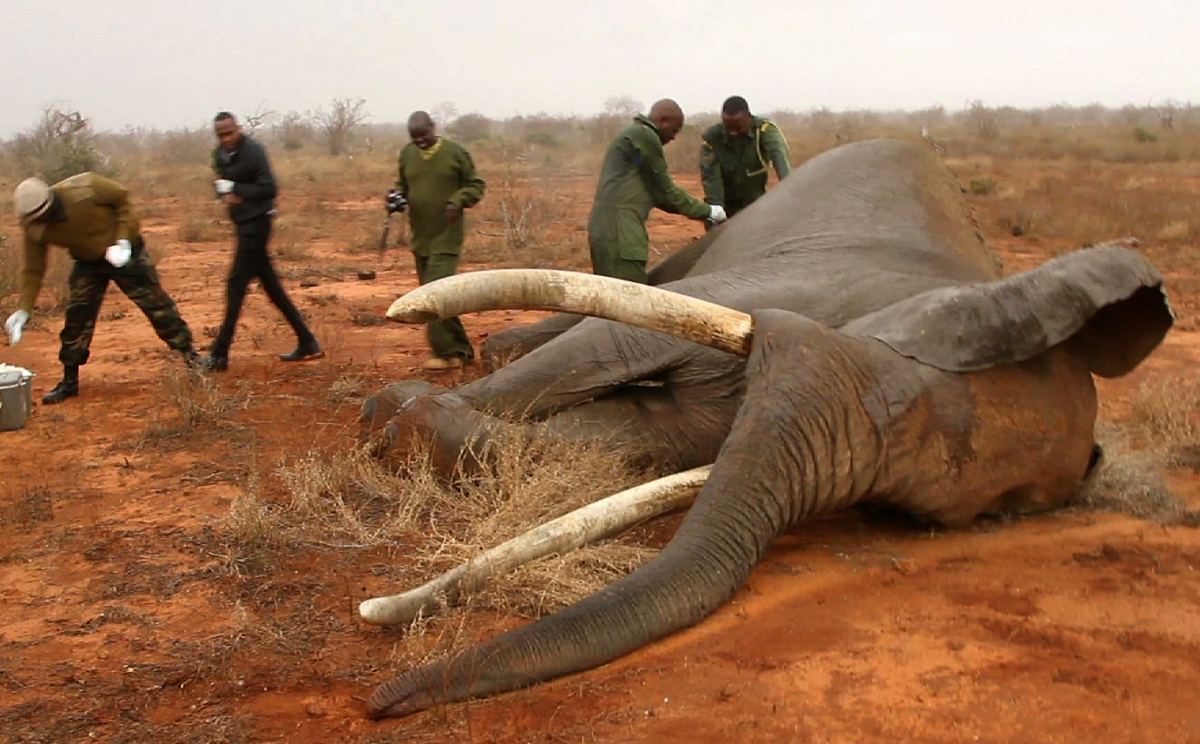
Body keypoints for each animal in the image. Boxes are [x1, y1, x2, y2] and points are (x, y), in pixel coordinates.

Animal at [359, 138, 1173, 719]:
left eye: (916, 514)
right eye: (902, 393)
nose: (385, 701)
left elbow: (646, 437)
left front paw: (412, 429)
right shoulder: (787, 284)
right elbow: (617, 341)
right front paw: (390, 421)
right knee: (649, 282)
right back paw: (479, 351)